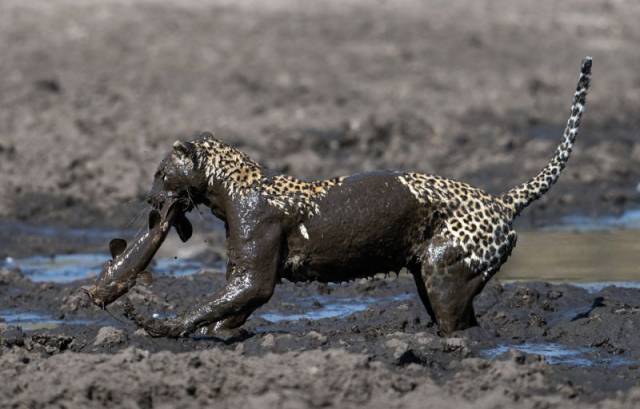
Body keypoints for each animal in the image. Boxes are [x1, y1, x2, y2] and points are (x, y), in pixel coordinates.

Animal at [122, 58, 592, 338]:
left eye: (160, 173)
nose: (148, 198)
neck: (235, 185)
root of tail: (500, 201)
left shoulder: (254, 278)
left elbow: (209, 306)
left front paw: (160, 326)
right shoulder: (246, 276)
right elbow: (226, 312)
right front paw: (209, 334)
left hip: (443, 274)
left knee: (458, 324)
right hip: (433, 274)